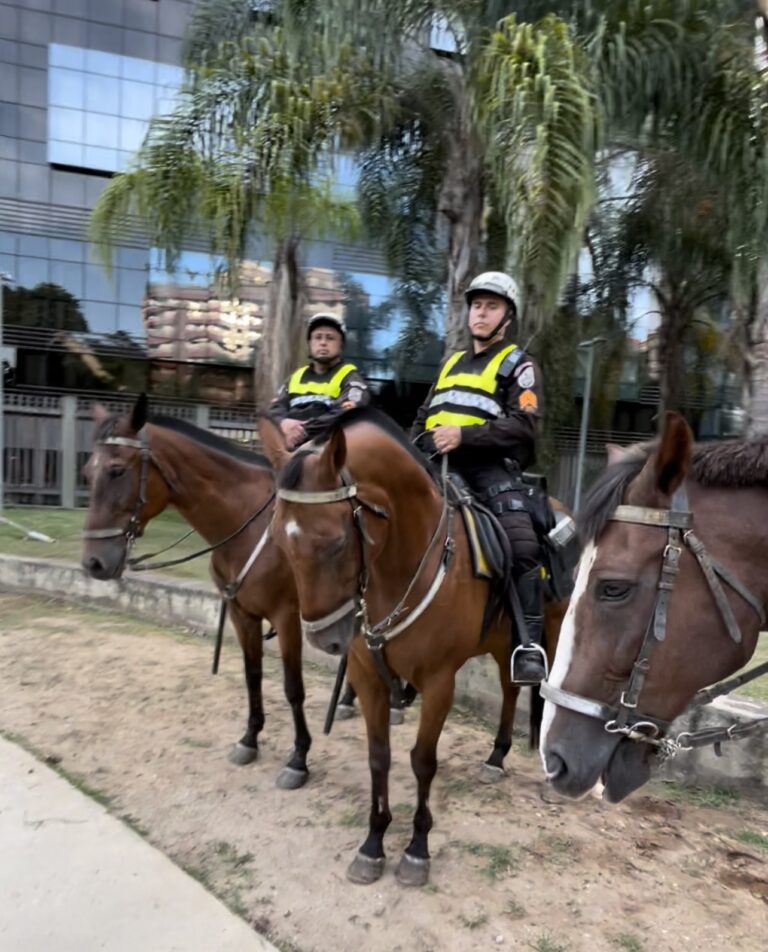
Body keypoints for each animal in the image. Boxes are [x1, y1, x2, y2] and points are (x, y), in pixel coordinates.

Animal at [81, 394, 312, 788]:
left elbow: (293, 687)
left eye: (117, 470)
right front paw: (250, 738)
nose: (94, 562)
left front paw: (298, 758)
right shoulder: (241, 613)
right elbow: (253, 676)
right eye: (86, 472)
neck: (253, 526)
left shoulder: (286, 616)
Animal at [260, 404, 568, 884]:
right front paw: (372, 843)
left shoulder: (439, 682)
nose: (325, 638)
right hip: (503, 642)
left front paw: (416, 849)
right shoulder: (368, 678)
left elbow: (423, 760)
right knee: (508, 687)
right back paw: (496, 757)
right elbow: (379, 757)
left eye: (335, 542)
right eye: (277, 538)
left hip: (551, 632)